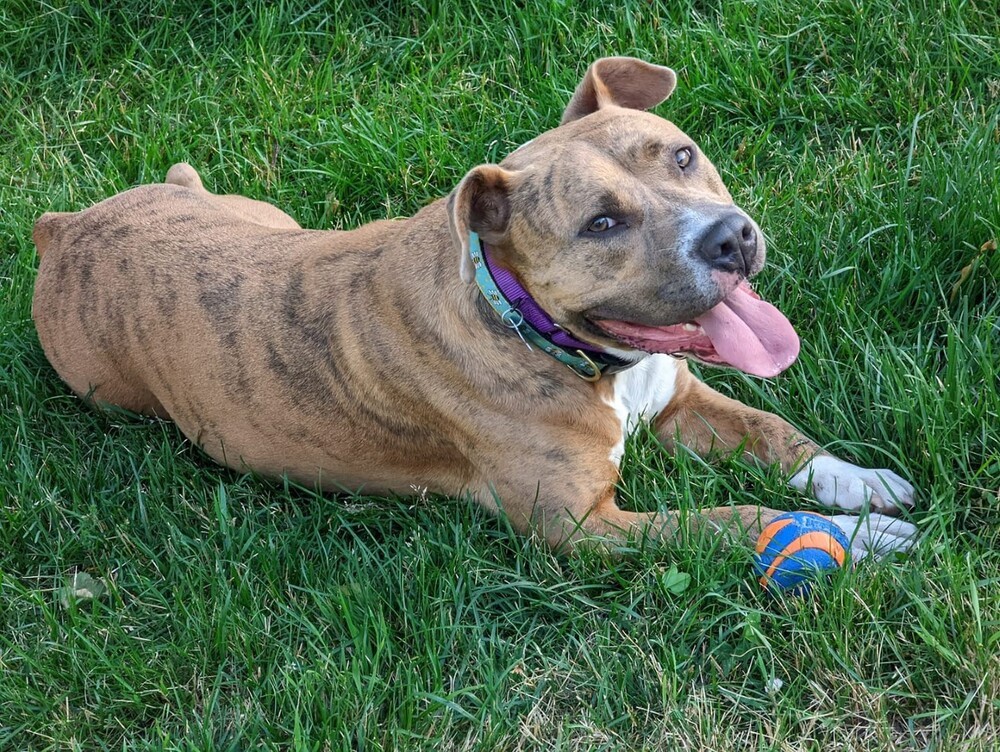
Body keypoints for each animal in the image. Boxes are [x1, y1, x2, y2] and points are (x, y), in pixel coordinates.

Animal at [35, 55, 916, 556]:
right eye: (601, 223)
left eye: (681, 154)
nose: (731, 239)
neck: (559, 345)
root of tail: (65, 226)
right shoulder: (583, 529)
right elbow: (732, 519)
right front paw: (856, 537)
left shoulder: (680, 400)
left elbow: (778, 434)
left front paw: (861, 485)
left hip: (258, 214)